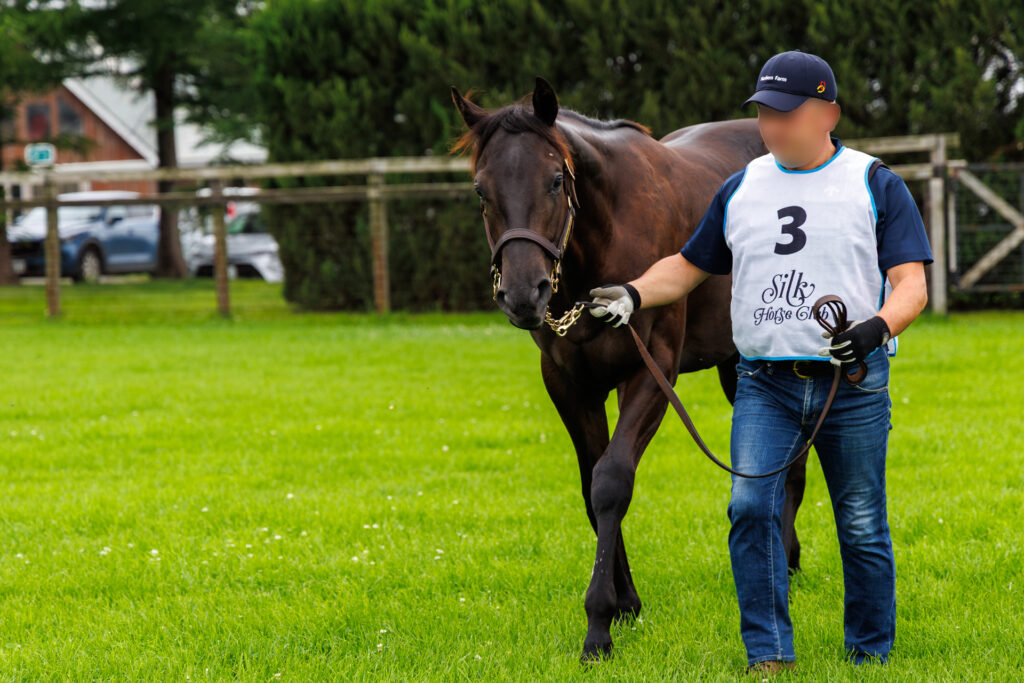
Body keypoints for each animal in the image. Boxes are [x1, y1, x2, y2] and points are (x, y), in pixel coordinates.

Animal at [450, 77, 809, 662]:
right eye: (482, 191)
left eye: (555, 181)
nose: (523, 294)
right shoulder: (572, 386)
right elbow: (590, 487)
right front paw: (626, 603)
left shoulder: (651, 373)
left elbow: (613, 482)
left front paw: (598, 625)